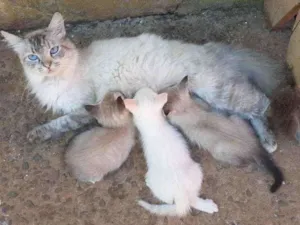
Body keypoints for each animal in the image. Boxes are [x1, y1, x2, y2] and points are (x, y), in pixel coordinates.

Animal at [1, 12, 280, 153]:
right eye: (33, 57)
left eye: (54, 50)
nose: (47, 65)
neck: (57, 80)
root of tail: (210, 49)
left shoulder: (83, 107)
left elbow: (60, 122)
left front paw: (38, 133)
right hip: (214, 101)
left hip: (220, 93)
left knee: (263, 103)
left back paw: (270, 141)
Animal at [123, 87, 219, 216]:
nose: (142, 88)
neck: (154, 124)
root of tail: (180, 195)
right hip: (196, 170)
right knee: (192, 199)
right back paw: (208, 206)